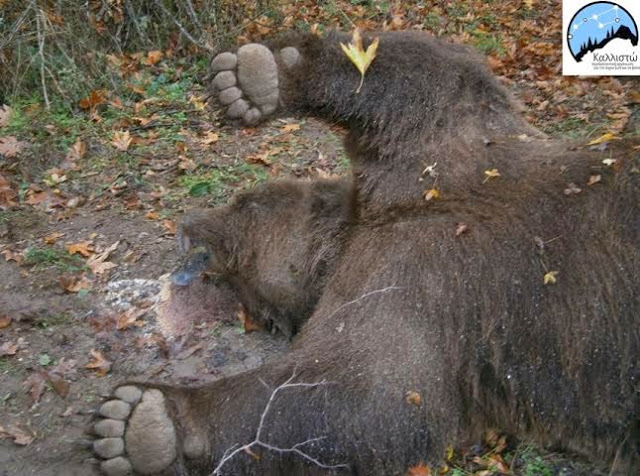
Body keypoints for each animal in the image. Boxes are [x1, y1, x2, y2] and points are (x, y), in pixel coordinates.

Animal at [92, 31, 636, 474]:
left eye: (245, 200)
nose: (185, 226)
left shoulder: (439, 176)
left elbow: (426, 71)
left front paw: (254, 73)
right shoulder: (412, 279)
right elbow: (360, 390)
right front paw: (143, 427)